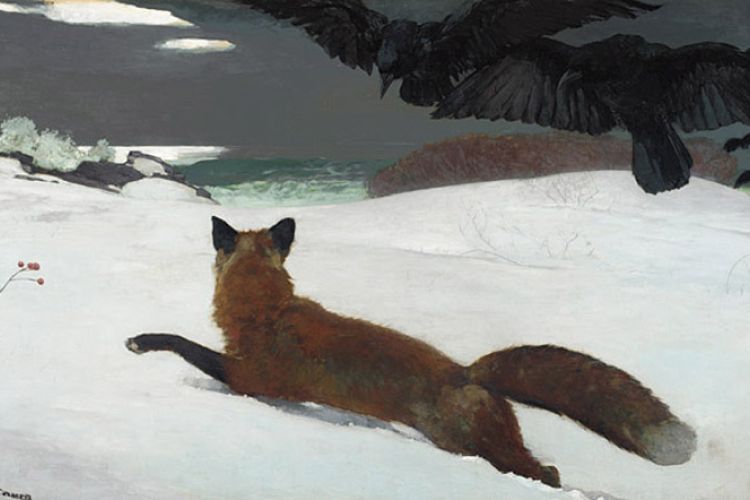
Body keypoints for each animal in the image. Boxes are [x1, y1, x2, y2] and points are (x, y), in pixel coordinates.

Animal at [126, 216, 696, 487]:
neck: (268, 312)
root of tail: (467, 371)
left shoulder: (250, 379)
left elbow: (183, 344)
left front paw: (142, 341)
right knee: (545, 469)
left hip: (471, 445)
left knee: (543, 474)